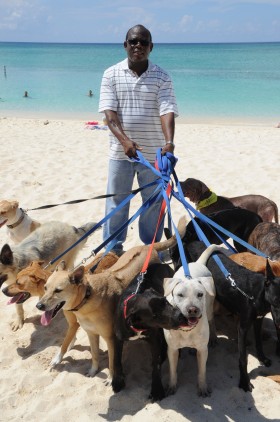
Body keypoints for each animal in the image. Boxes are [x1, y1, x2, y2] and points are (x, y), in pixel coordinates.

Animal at [112, 262, 188, 400]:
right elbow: (116, 360)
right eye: (154, 315)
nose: (180, 316)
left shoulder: (154, 339)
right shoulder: (118, 338)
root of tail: (162, 264)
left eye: (165, 301)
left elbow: (155, 365)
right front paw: (118, 381)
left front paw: (157, 389)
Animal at [163, 244, 224, 396]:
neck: (186, 330)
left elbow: (202, 371)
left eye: (200, 294)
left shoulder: (202, 350)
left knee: (212, 321)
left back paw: (213, 337)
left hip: (209, 307)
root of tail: (198, 262)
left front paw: (202, 387)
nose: (192, 310)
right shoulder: (172, 350)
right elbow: (172, 371)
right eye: (180, 295)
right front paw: (171, 386)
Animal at [179, 241, 280, 392]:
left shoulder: (258, 320)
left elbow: (259, 342)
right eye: (276, 301)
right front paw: (244, 382)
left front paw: (262, 358)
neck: (256, 294)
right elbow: (243, 358)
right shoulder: (243, 328)